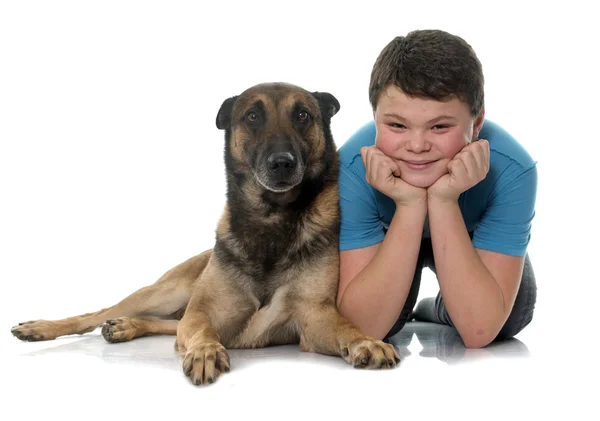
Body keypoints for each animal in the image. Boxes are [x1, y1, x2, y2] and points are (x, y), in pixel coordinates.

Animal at [10, 82, 398, 384]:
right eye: (252, 117)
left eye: (302, 115)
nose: (282, 163)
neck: (272, 218)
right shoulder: (203, 314)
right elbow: (201, 332)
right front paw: (206, 352)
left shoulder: (316, 318)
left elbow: (347, 328)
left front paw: (366, 341)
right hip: (165, 292)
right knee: (97, 314)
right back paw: (41, 327)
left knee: (163, 323)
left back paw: (125, 326)